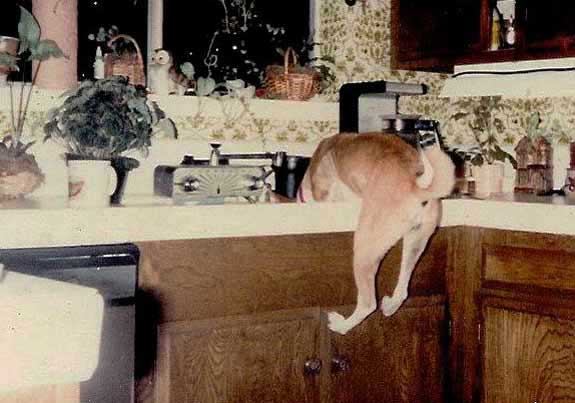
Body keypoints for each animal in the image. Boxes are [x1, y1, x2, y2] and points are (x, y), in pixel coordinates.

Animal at [297, 131, 455, 335]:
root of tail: (416, 184)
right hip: (415, 243)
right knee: (402, 291)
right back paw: (389, 306)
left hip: (363, 251)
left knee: (368, 304)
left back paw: (341, 325)